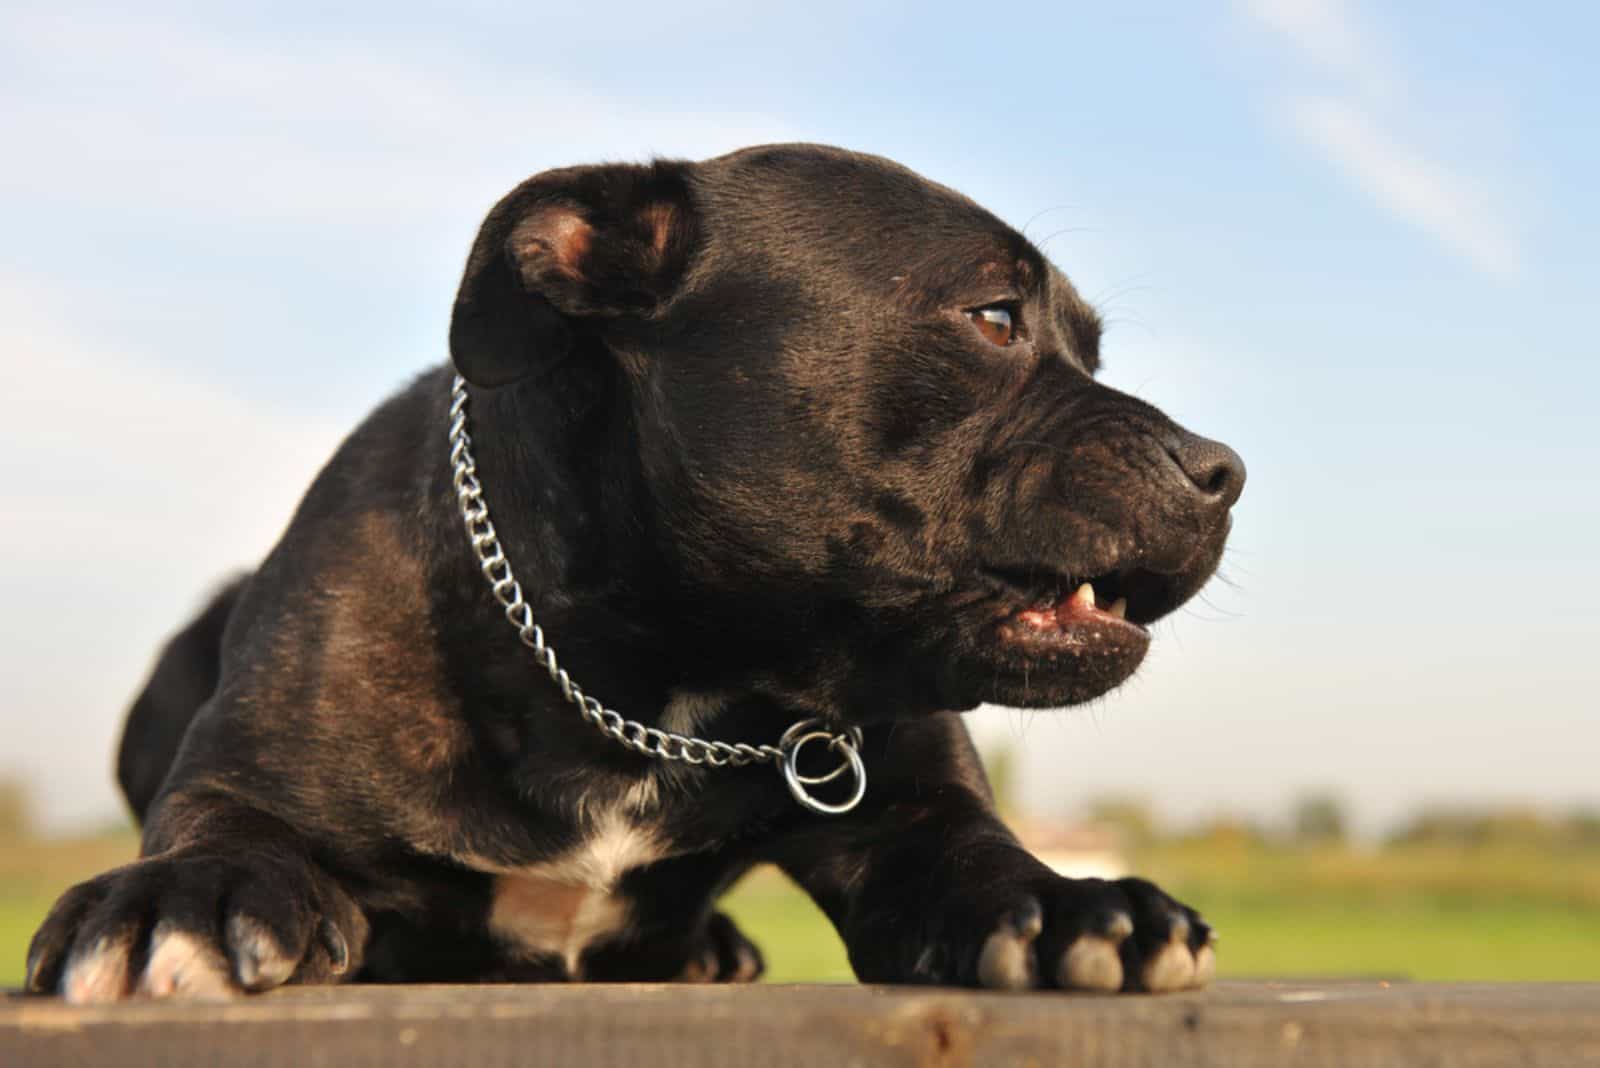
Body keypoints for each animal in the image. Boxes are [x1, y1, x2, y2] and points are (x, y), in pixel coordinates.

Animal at [28, 143, 1248, 1004]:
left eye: (1092, 352)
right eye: (994, 316)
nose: (1221, 468)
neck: (659, 689)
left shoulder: (915, 817)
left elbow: (986, 865)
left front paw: (1077, 907)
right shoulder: (241, 780)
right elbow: (223, 834)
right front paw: (179, 901)